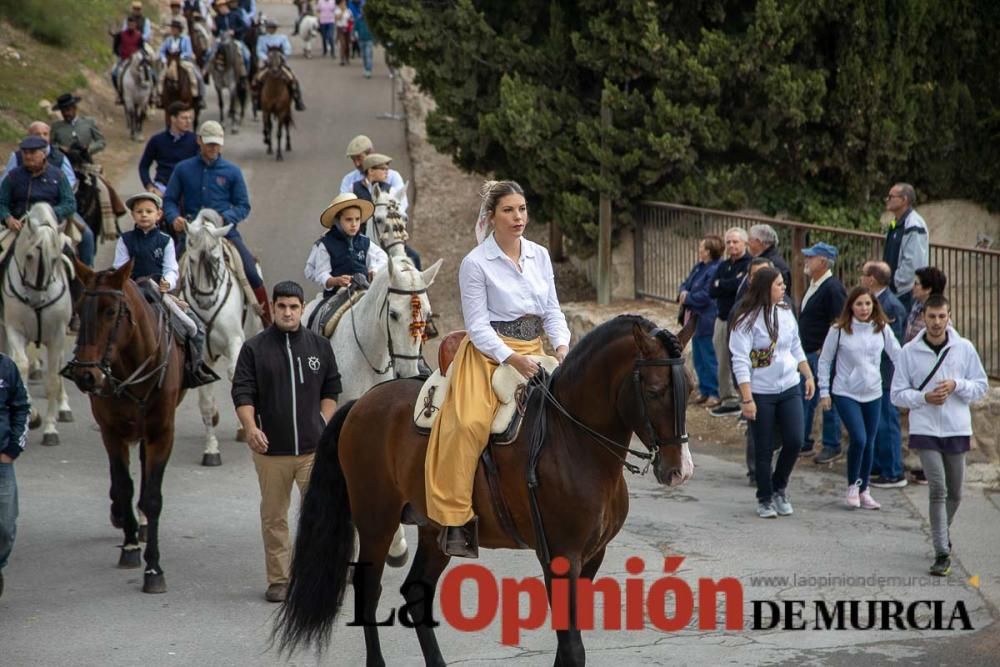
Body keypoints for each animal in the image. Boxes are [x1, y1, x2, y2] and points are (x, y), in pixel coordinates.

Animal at [0, 201, 73, 446]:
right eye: (30, 256)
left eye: (55, 259)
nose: (35, 301)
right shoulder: (14, 329)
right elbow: (20, 365)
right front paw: (31, 416)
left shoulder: (57, 336)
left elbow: (53, 379)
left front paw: (50, 428)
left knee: (59, 367)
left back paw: (64, 407)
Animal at [61, 260, 187, 596]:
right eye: (80, 308)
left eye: (110, 311)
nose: (86, 375)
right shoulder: (111, 432)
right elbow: (123, 484)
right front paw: (130, 546)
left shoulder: (162, 433)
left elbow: (153, 497)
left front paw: (154, 569)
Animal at [182, 209, 264, 464]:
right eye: (192, 260)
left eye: (217, 260)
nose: (206, 300)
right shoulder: (201, 356)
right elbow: (206, 404)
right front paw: (211, 450)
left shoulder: (235, 341)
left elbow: (237, 377)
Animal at [274, 316, 696, 664]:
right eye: (654, 390)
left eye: (690, 389)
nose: (679, 471)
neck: (573, 439)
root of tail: (362, 402)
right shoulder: (559, 558)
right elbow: (572, 647)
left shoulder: (592, 557)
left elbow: (566, 645)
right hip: (377, 522)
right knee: (369, 589)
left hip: (435, 530)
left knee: (416, 592)